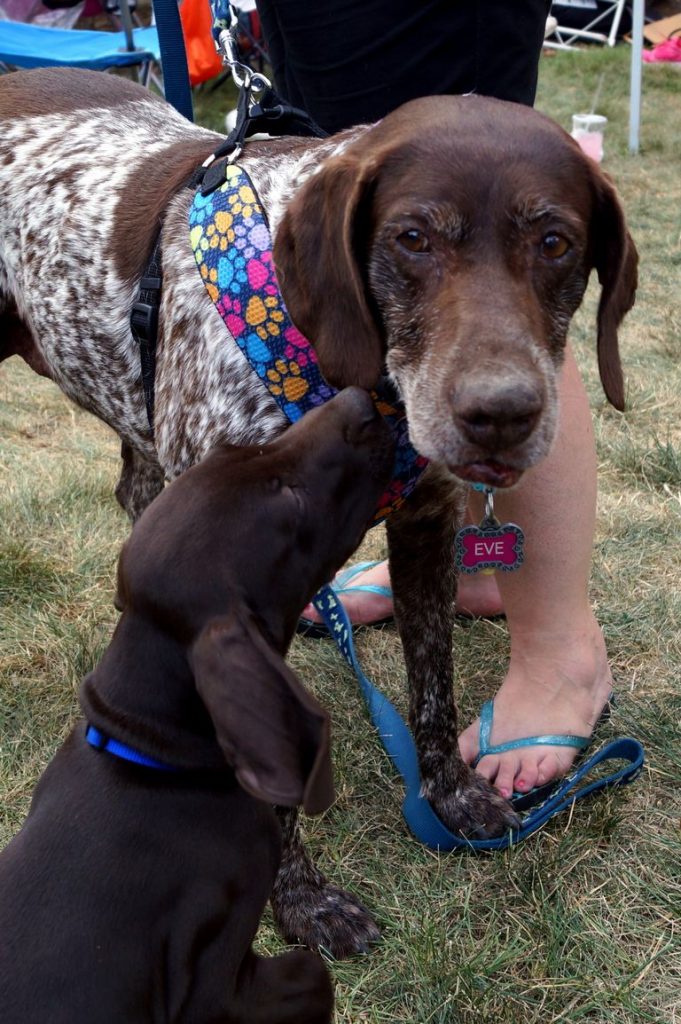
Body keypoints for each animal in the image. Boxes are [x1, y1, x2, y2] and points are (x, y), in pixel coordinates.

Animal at [0, 387, 393, 1019]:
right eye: (289, 499)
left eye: (238, 448)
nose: (358, 399)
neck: (145, 751)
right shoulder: (215, 982)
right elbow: (312, 972)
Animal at [1, 70, 639, 950]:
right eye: (412, 238)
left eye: (554, 243)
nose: (500, 413)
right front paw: (300, 898)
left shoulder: (424, 529)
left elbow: (432, 685)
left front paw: (449, 795)